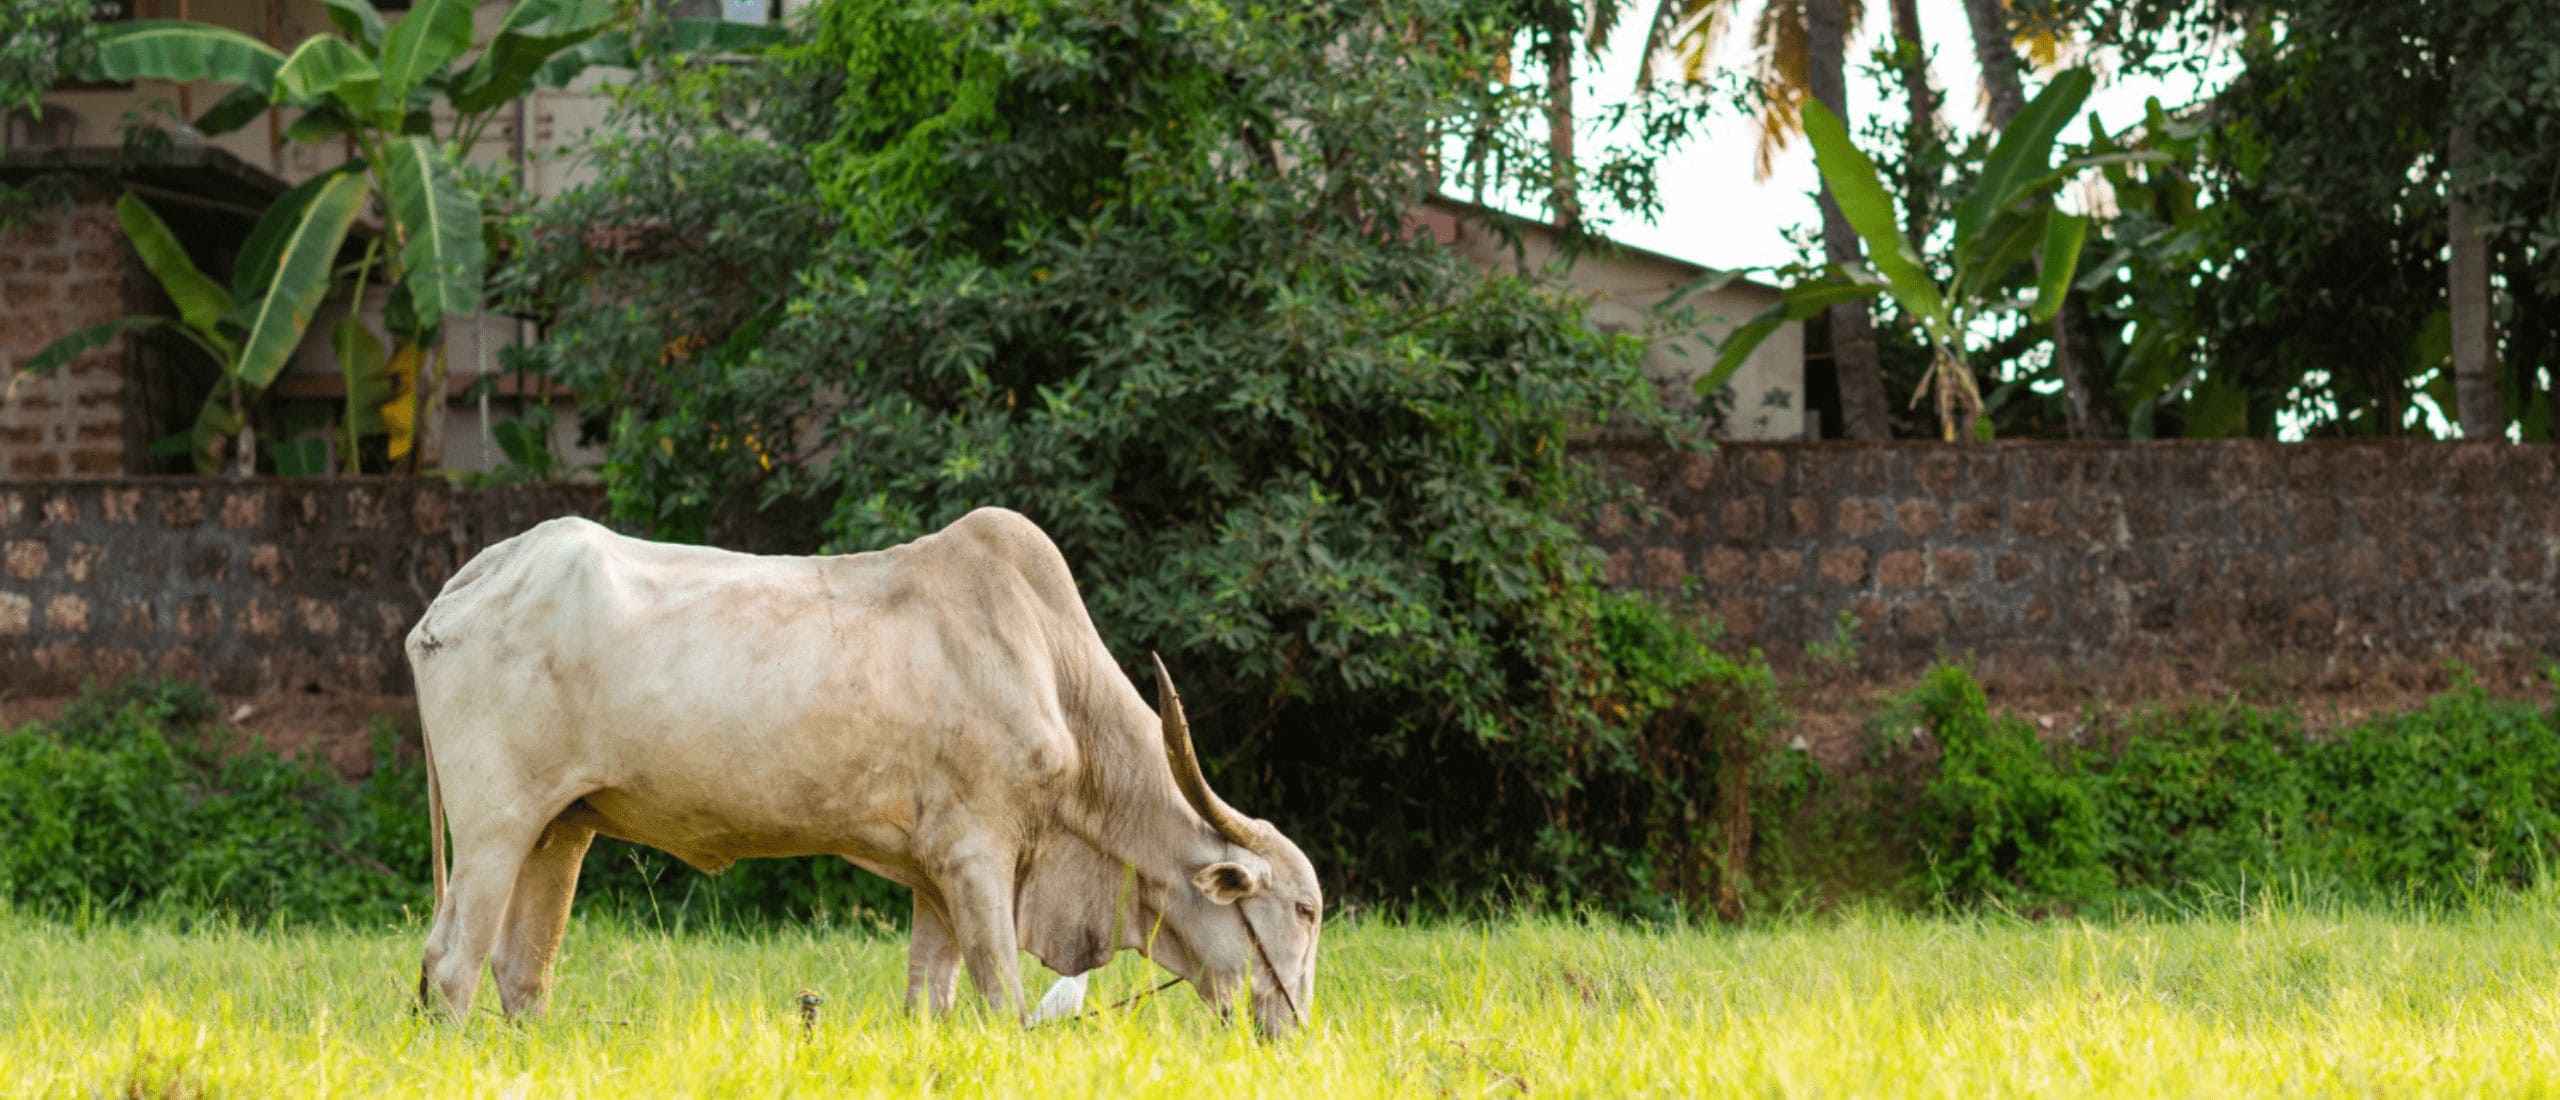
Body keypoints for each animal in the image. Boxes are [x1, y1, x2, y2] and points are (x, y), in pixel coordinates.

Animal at [404, 511, 1320, 1033]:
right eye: (1305, 910)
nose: (1294, 1029)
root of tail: (464, 588)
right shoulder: (979, 858)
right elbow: (1003, 1000)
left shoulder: (934, 875)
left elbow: (931, 1004)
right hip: (495, 828)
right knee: (451, 966)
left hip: (562, 828)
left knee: (521, 974)